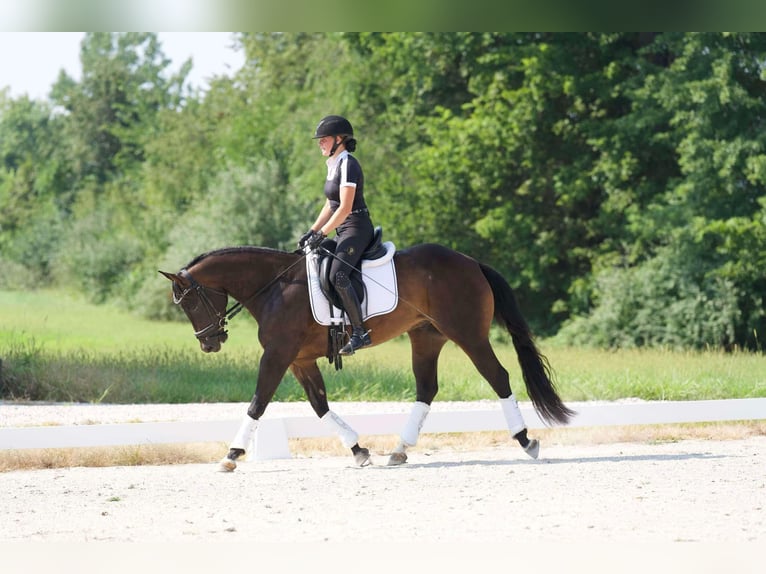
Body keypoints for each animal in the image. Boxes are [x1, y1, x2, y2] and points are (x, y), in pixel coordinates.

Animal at [159, 241, 572, 470]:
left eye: (190, 302)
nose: (209, 343)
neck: (275, 287)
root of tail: (472, 263)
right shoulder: (299, 359)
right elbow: (320, 405)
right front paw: (359, 450)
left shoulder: (278, 355)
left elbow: (258, 402)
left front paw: (231, 454)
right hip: (426, 337)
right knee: (426, 388)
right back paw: (399, 450)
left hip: (467, 334)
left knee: (498, 377)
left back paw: (527, 441)